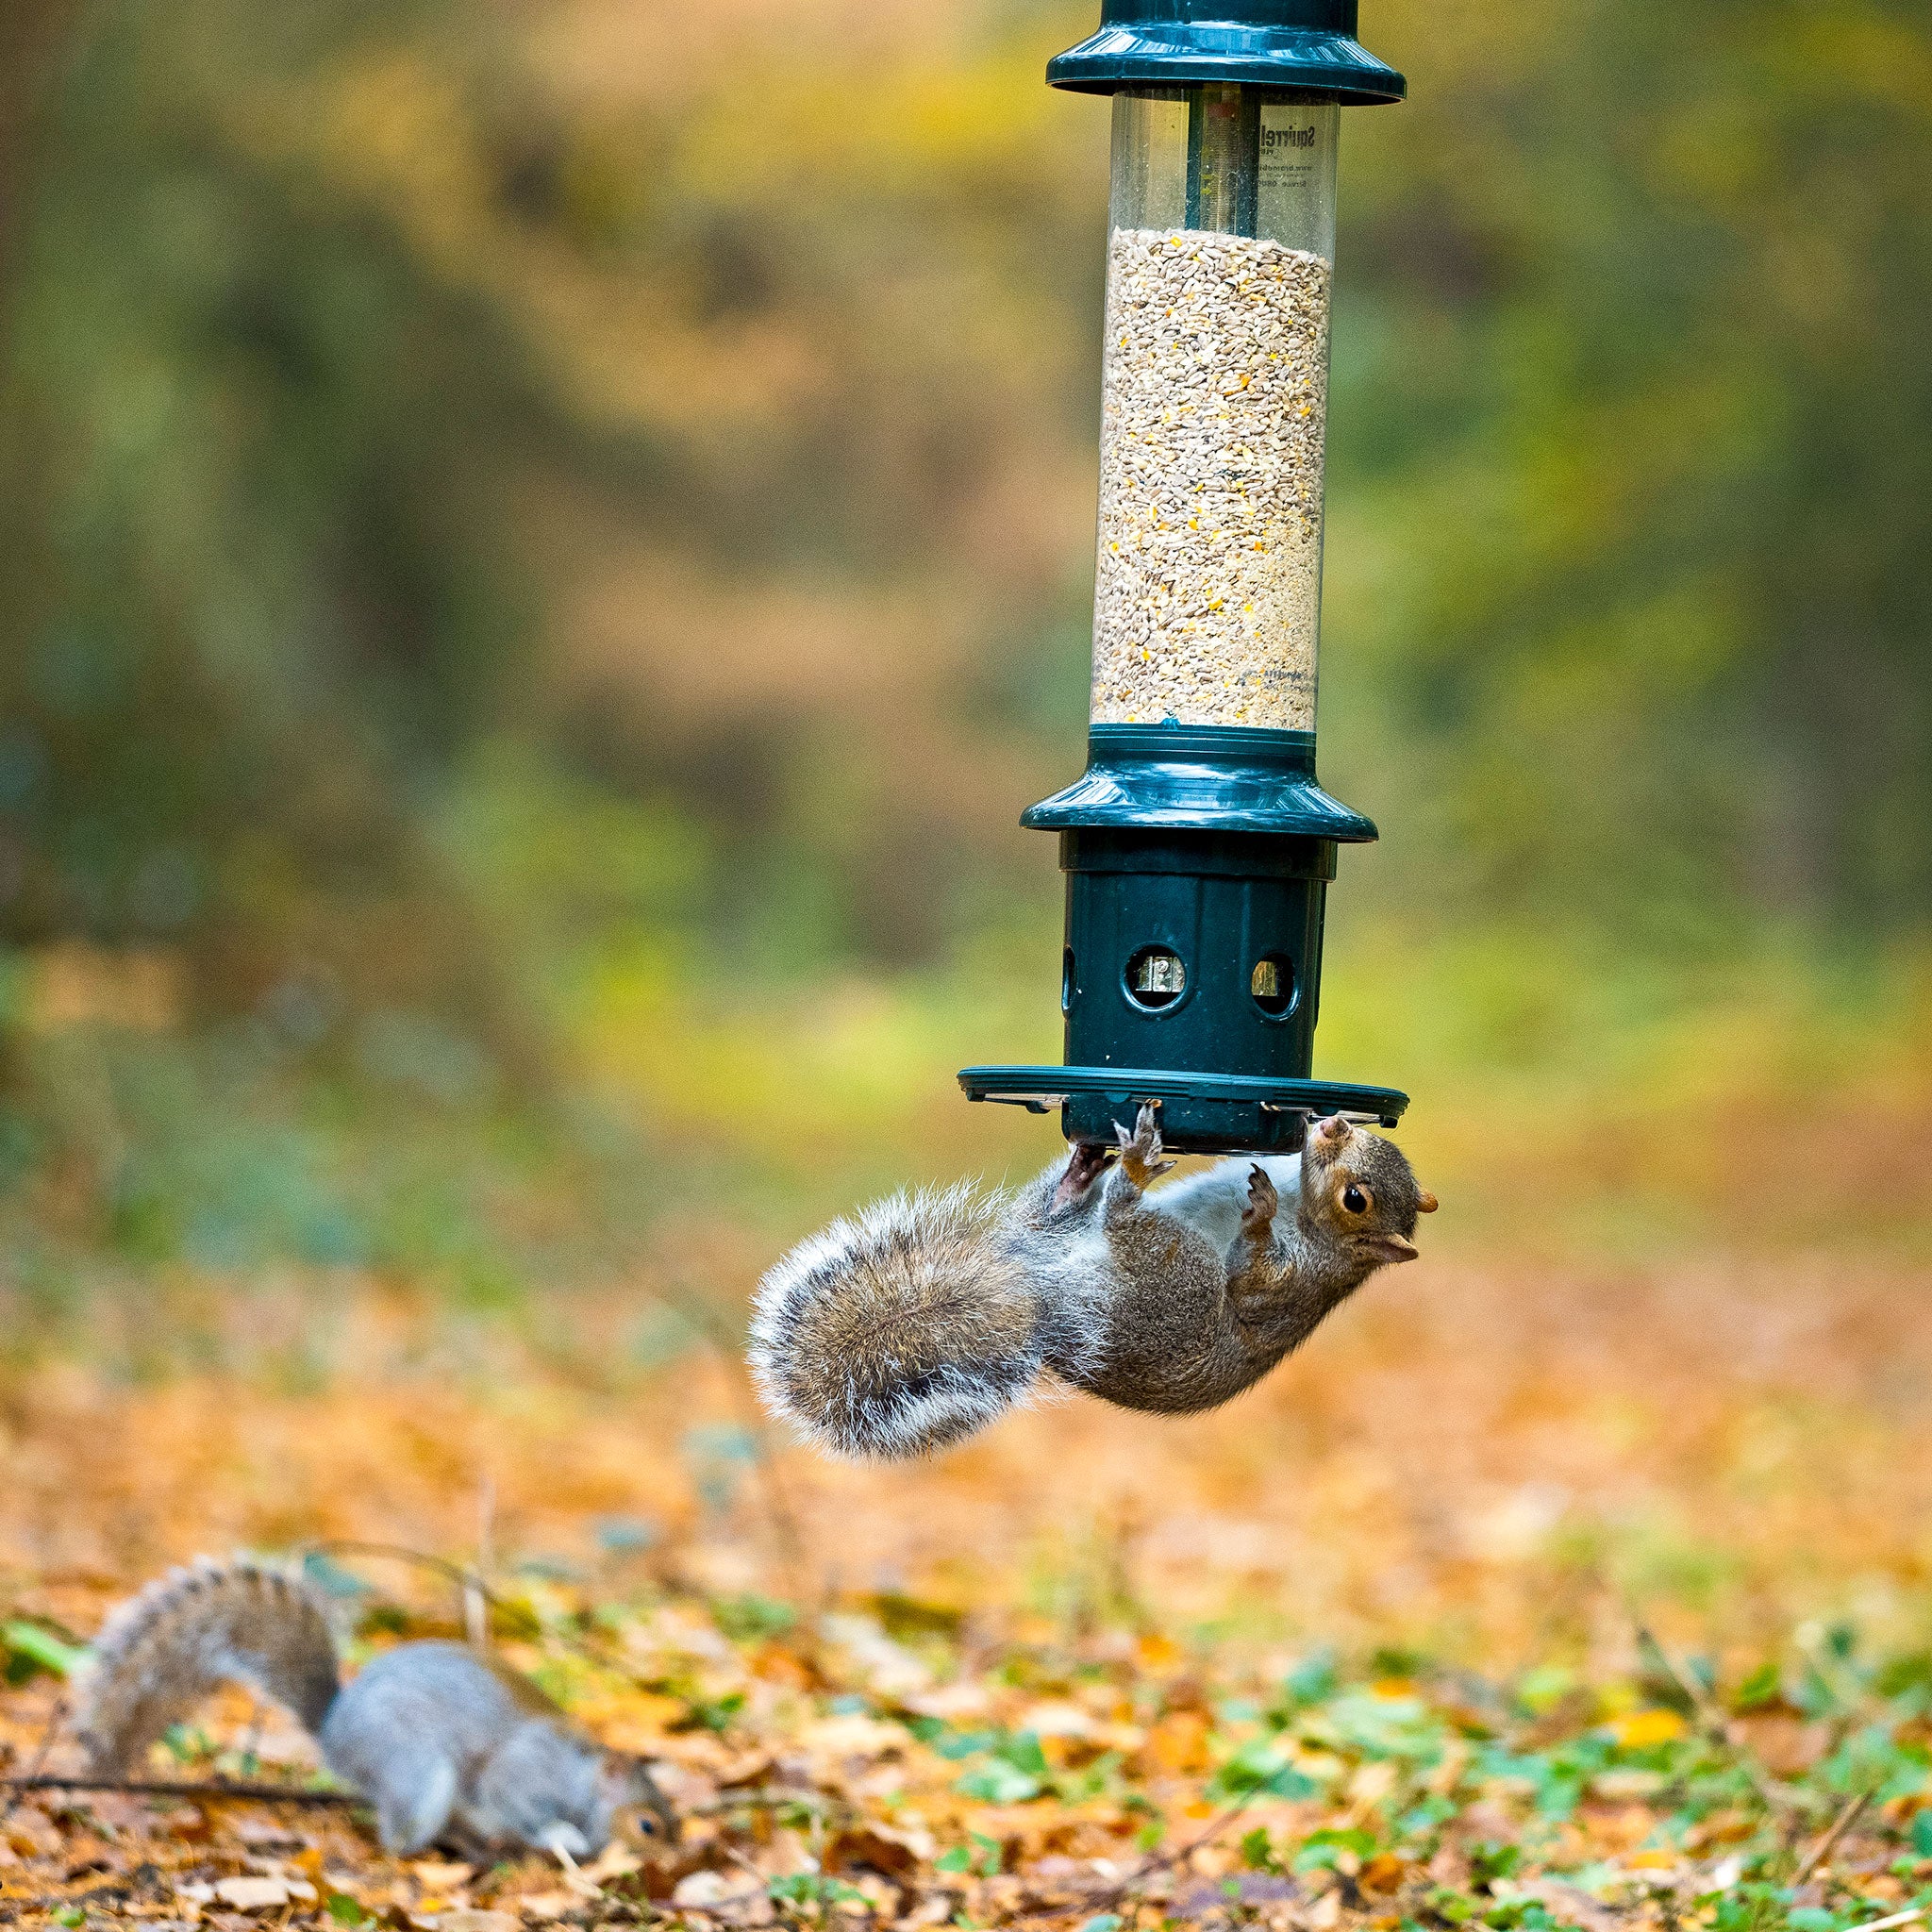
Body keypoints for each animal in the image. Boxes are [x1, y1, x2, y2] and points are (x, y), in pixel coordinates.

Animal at [75, 1556, 676, 1858]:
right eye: (648, 1825)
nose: (671, 1863)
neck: (581, 1776)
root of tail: (333, 1728)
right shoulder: (524, 1776)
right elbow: (517, 1805)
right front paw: (562, 1838)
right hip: (416, 1768)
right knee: (396, 1837)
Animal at [750, 1106, 1437, 1460]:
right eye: (1369, 1136)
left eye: (1356, 1199)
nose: (1332, 1126)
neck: (1306, 1211)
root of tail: (1044, 1299)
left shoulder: (1290, 1284)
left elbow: (1255, 1284)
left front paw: (1261, 1213)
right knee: (1048, 1215)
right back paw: (1082, 1172)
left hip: (1173, 1273)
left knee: (1126, 1219)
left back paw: (1129, 1175)